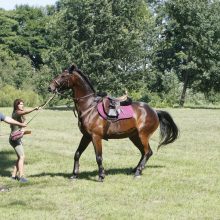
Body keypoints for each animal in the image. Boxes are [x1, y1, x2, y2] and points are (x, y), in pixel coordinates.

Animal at [48, 63, 179, 180]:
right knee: (144, 152)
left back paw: (138, 172)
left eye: (63, 76)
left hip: (143, 135)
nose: (50, 87)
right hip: (134, 136)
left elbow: (98, 157)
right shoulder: (86, 136)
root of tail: (155, 111)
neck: (89, 107)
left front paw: (101, 175)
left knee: (148, 152)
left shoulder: (96, 136)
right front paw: (74, 175)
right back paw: (135, 169)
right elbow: (77, 154)